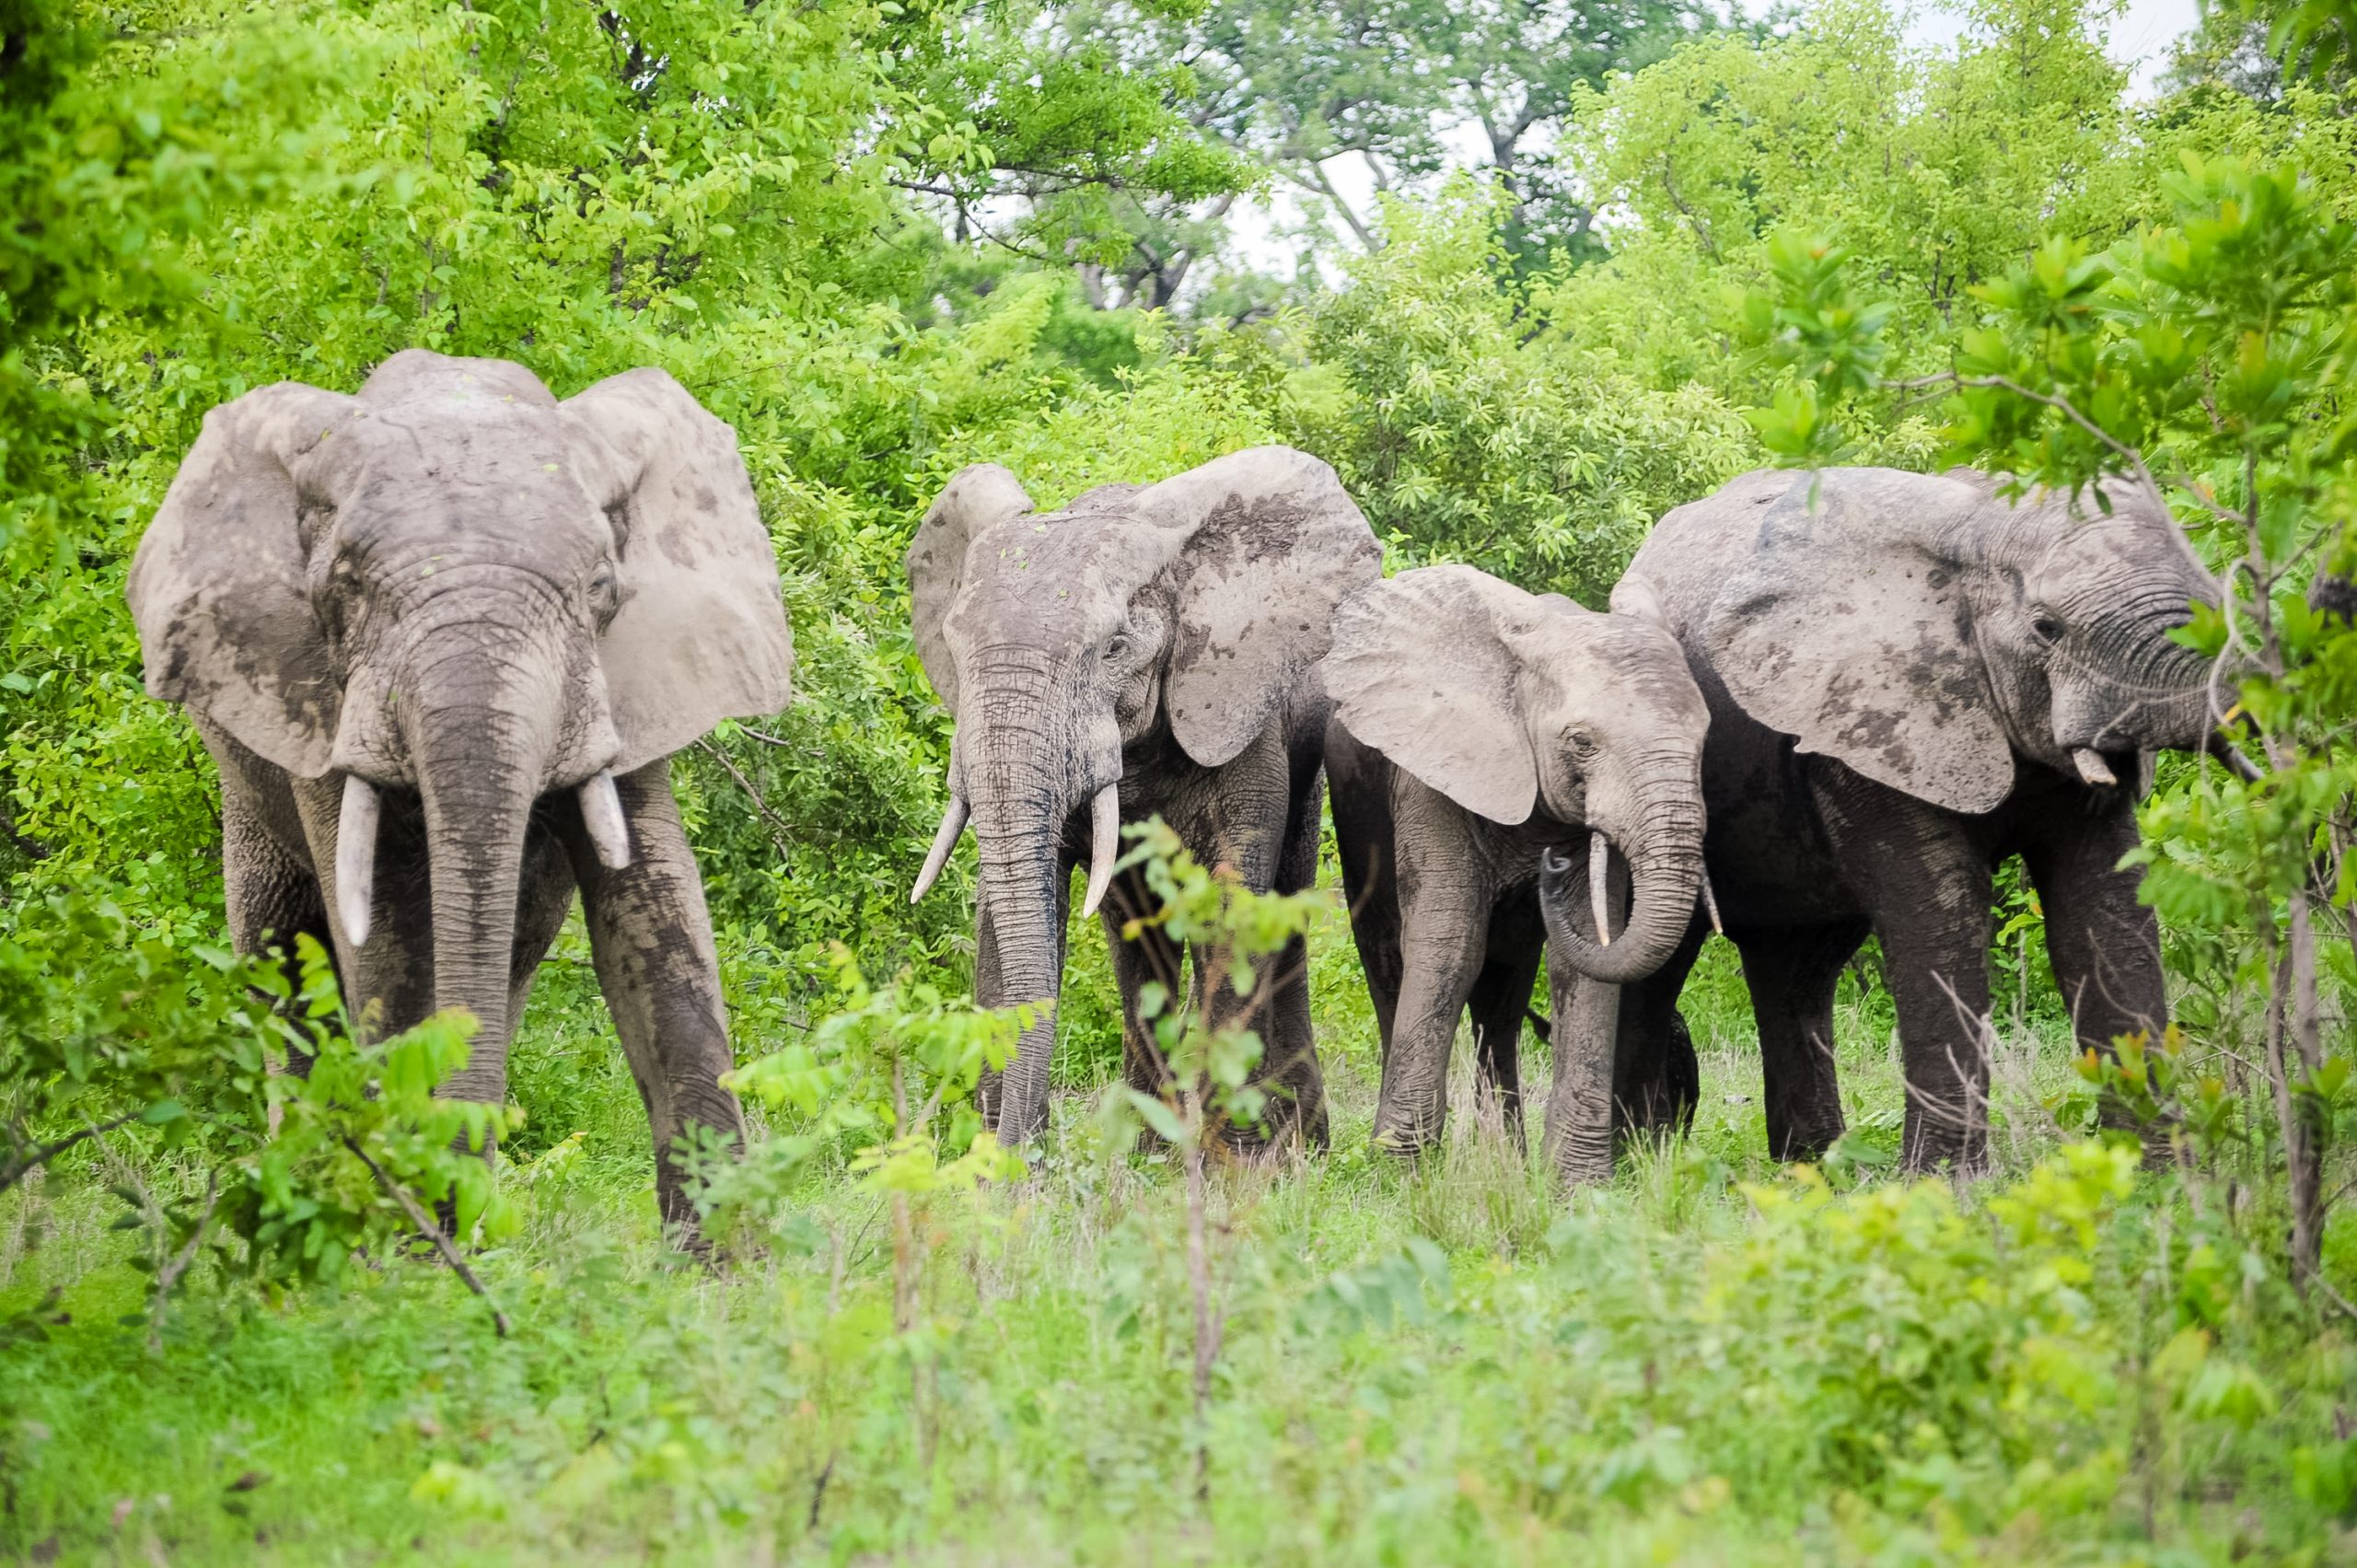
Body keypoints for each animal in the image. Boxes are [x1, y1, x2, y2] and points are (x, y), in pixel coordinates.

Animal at [126, 349, 792, 1231]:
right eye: (345, 588)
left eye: (599, 587)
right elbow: (391, 937)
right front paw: (409, 1246)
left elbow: (654, 906)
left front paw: (724, 1260)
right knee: (283, 954)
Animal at [906, 447, 1382, 1146]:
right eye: (955, 649)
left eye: (1114, 648)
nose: (1022, 1150)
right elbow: (1016, 904)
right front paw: (1002, 1153)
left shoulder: (1238, 714)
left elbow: (1232, 901)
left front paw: (1234, 1158)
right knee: (1140, 934)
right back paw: (1153, 1149)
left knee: (1284, 904)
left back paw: (1299, 1146)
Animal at [1321, 565, 1711, 1179]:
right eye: (1582, 742)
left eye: (1704, 741)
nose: (1551, 864)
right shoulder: (1431, 774)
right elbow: (1451, 945)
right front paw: (1401, 1174)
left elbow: (1583, 961)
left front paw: (1576, 1183)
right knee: (1390, 965)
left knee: (1502, 1001)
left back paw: (1507, 1157)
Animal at [1602, 465, 2225, 1175]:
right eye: (2047, 626)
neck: (1976, 530)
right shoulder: (1858, 728)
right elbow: (1939, 915)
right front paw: (1944, 1185)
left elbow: (2104, 909)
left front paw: (2158, 1176)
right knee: (1665, 967)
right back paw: (1641, 1163)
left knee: (1795, 968)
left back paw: (1814, 1169)